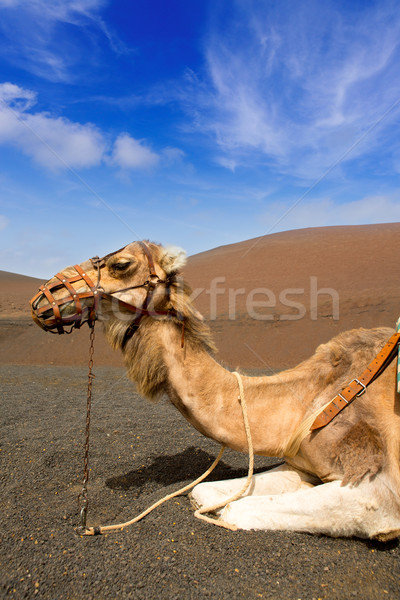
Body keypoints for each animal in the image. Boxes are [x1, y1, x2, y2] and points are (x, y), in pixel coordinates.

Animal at [29, 239, 400, 540]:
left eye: (121, 264)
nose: (43, 297)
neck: (312, 400)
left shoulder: (377, 491)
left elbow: (235, 509)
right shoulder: (301, 465)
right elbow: (203, 492)